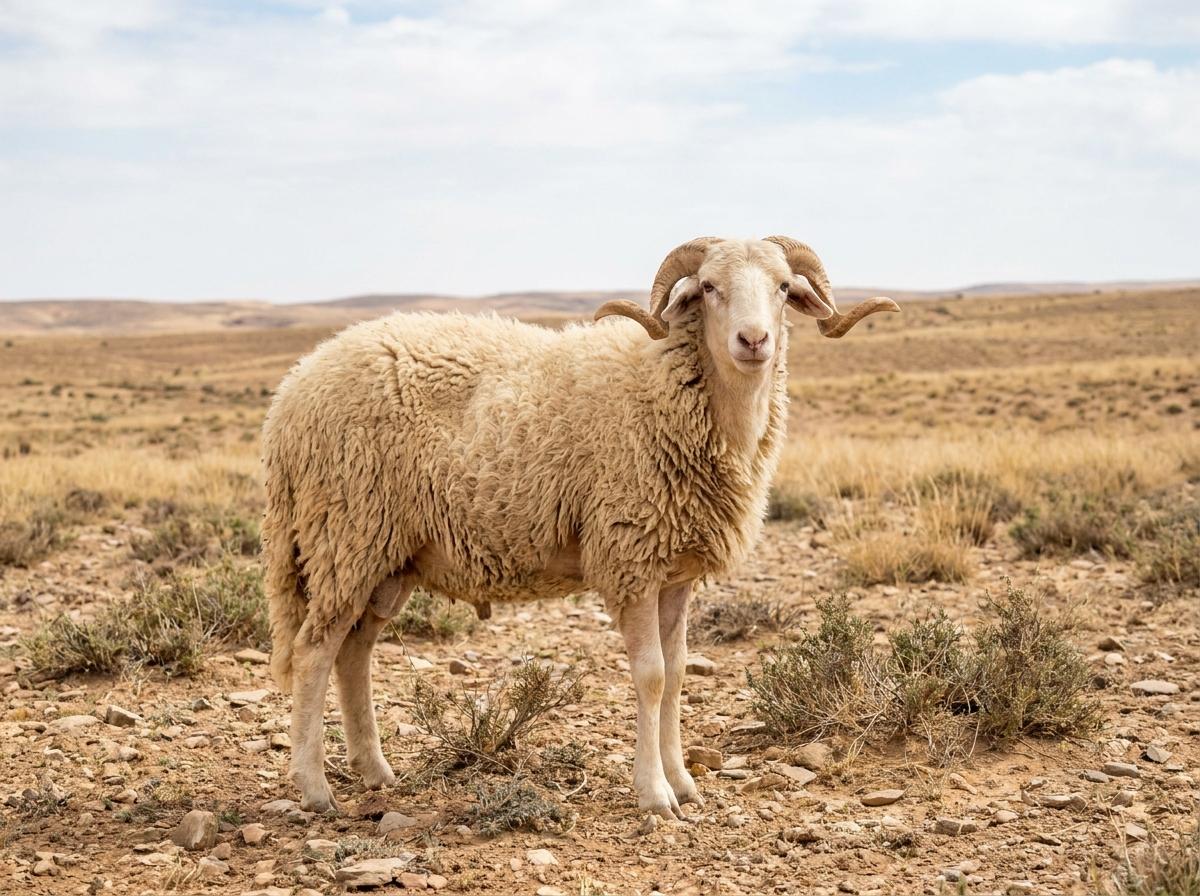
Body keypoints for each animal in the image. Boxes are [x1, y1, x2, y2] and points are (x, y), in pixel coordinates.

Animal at [262, 236, 898, 818]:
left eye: (784, 288)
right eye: (709, 287)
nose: (754, 341)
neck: (669, 388)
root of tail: (292, 390)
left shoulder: (675, 572)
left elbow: (678, 675)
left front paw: (683, 782)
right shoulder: (629, 556)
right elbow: (651, 676)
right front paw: (655, 793)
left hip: (386, 556)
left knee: (354, 650)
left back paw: (374, 770)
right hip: (346, 533)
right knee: (315, 651)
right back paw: (315, 789)